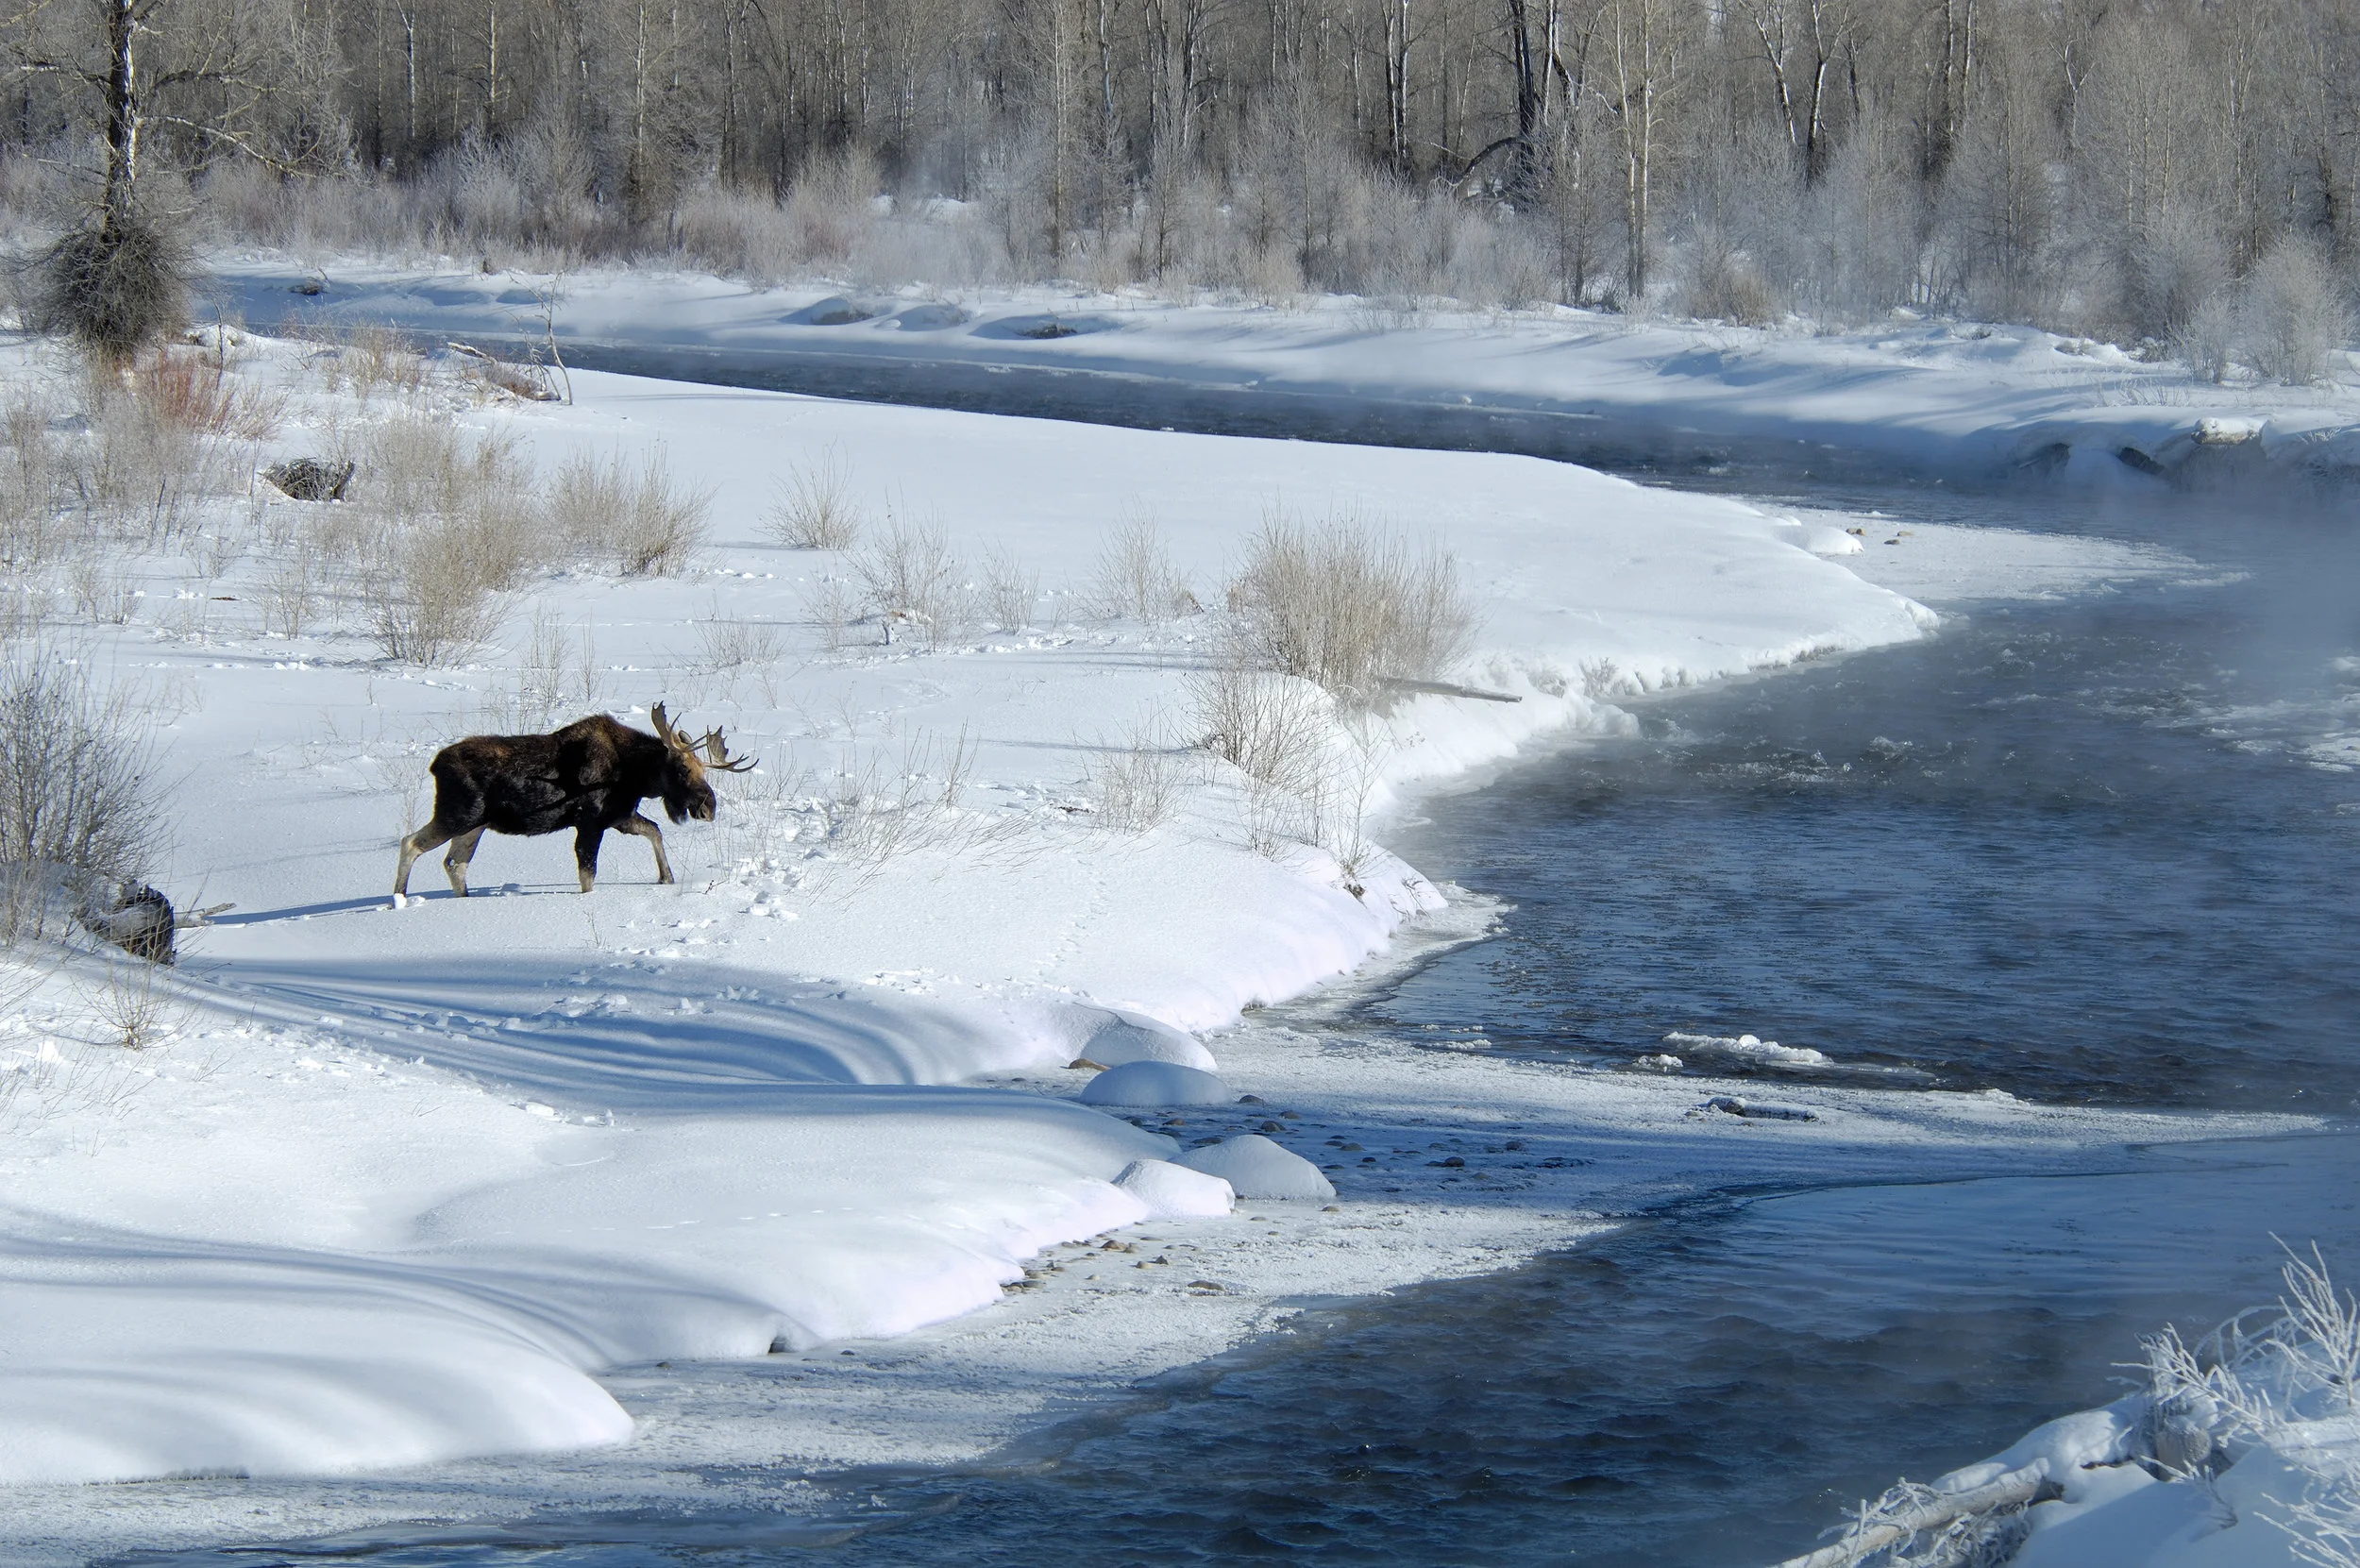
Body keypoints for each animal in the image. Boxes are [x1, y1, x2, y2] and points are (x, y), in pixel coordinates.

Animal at [394, 704, 754, 901]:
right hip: (457, 815)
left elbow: (654, 831)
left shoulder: (620, 816)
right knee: (411, 842)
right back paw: (398, 897)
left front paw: (666, 877)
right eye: (682, 768)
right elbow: (588, 874)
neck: (636, 775)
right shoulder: (591, 822)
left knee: (455, 863)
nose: (709, 808)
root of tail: (435, 765)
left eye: (704, 770)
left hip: (475, 826)